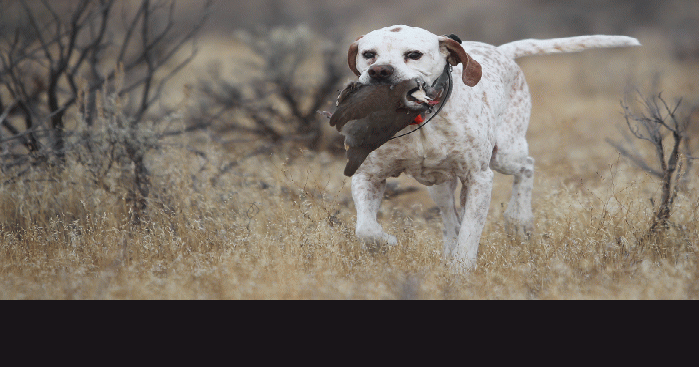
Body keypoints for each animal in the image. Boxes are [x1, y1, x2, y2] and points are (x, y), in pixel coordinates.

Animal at [344, 23, 640, 270]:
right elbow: (366, 230)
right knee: (450, 219)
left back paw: (519, 219)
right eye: (368, 54)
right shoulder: (367, 176)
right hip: (439, 185)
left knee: (527, 167)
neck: (419, 120)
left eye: (414, 54)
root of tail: (502, 50)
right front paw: (386, 242)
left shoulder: (479, 178)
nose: (380, 71)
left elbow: (470, 232)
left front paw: (461, 270)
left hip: (506, 154)